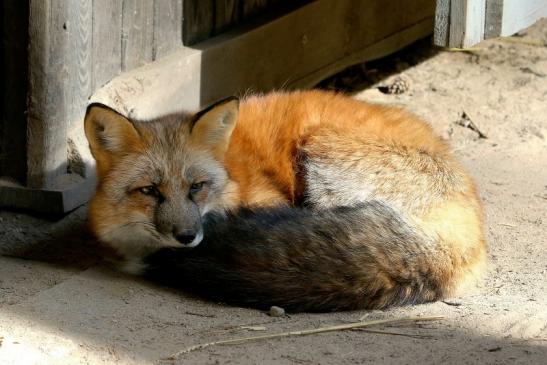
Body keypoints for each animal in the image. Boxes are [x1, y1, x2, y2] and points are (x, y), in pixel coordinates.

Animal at [85, 90, 488, 310]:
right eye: (150, 191)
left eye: (196, 187)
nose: (187, 237)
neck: (235, 171)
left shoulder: (269, 199)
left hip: (320, 148)